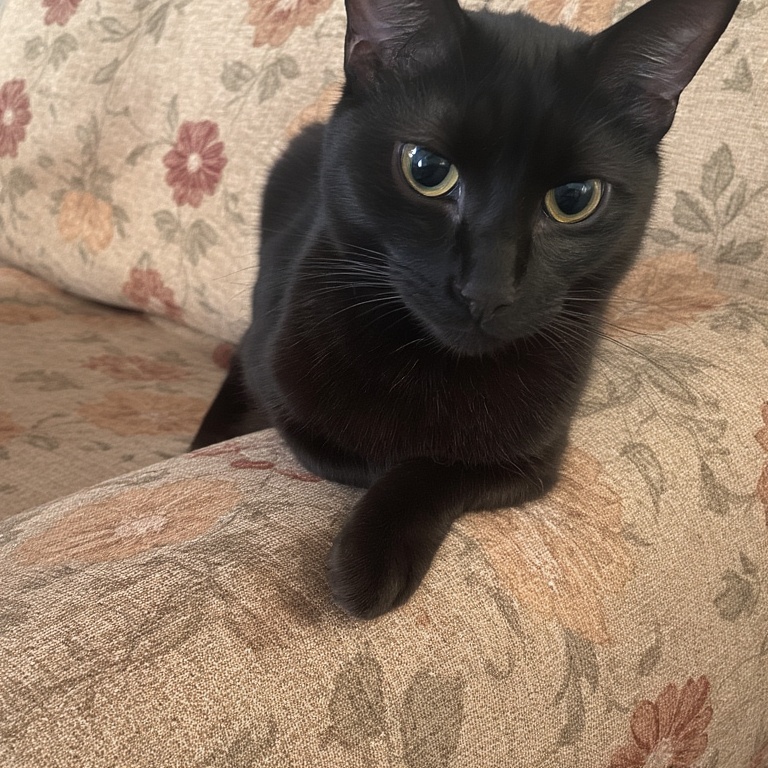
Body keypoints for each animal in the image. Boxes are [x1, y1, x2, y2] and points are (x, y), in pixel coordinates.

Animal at [192, 0, 740, 619]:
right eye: (426, 169)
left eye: (575, 199)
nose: (487, 289)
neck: (432, 368)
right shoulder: (287, 396)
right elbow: (354, 451)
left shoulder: (536, 456)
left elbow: (441, 468)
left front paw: (370, 561)